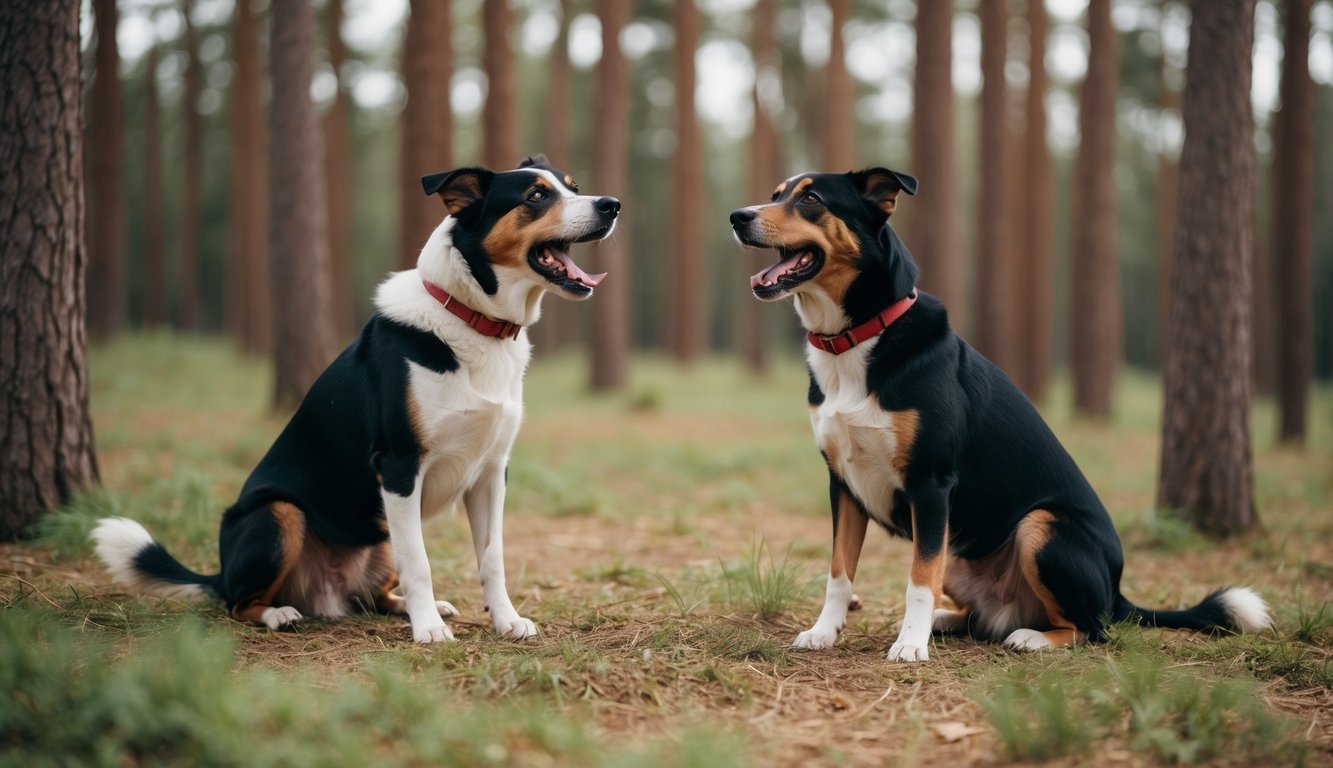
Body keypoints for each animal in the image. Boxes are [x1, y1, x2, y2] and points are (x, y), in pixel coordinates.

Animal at [96, 154, 621, 642]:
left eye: (573, 188)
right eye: (536, 196)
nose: (611, 205)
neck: (474, 321)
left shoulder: (491, 472)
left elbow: (493, 559)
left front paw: (506, 621)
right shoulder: (399, 465)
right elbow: (420, 563)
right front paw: (429, 631)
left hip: (379, 532)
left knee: (372, 596)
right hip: (281, 515)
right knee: (236, 601)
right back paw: (280, 613)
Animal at [730, 168, 1269, 661]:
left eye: (812, 199)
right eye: (776, 194)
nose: (739, 216)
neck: (857, 341)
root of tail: (1117, 594)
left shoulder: (931, 485)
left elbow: (917, 580)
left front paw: (910, 645)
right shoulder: (842, 484)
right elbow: (840, 573)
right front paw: (824, 632)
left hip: (1039, 527)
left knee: (1091, 629)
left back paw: (1029, 637)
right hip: (960, 548)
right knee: (980, 616)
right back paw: (948, 621)